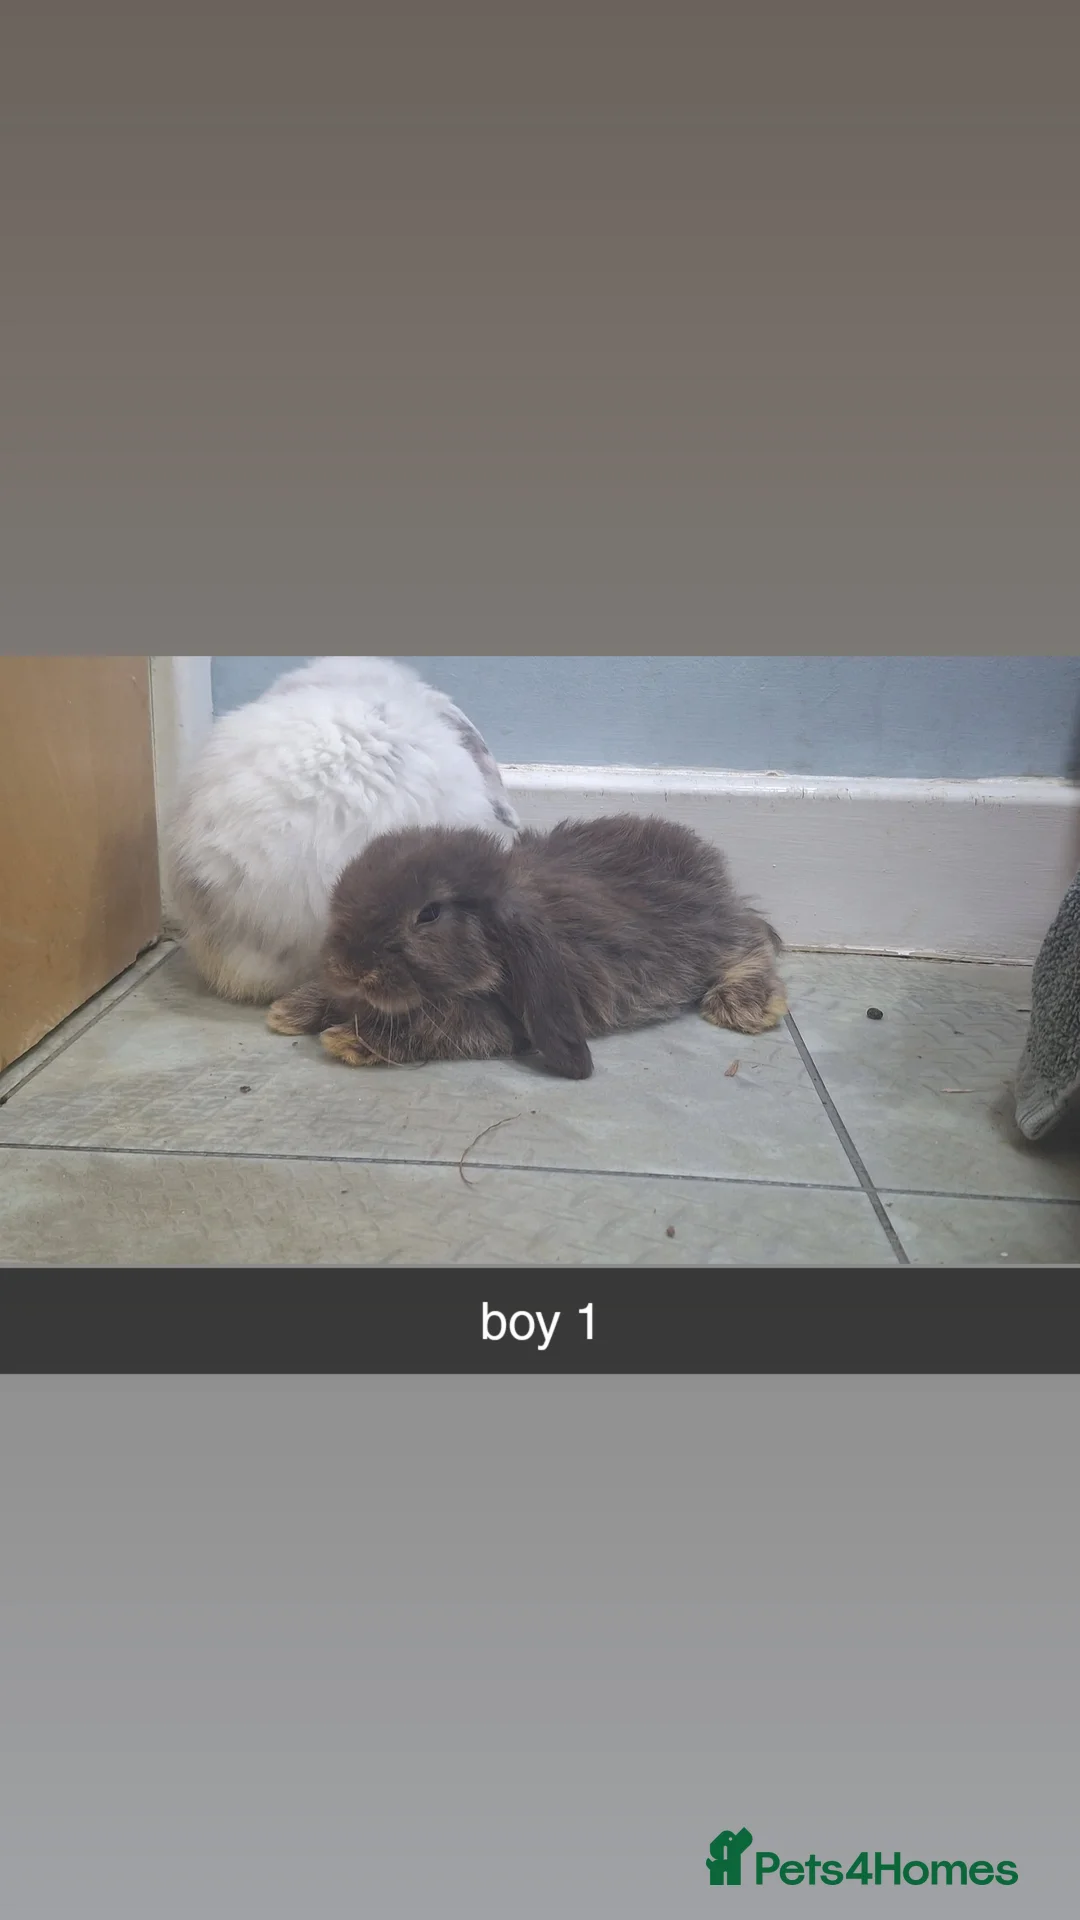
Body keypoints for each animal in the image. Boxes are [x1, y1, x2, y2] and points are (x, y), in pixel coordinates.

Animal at [266, 812, 788, 1079]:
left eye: (429, 914)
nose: (349, 967)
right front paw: (290, 1011)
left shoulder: (496, 1023)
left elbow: (438, 1026)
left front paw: (352, 1039)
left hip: (706, 934)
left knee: (751, 938)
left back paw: (746, 1005)